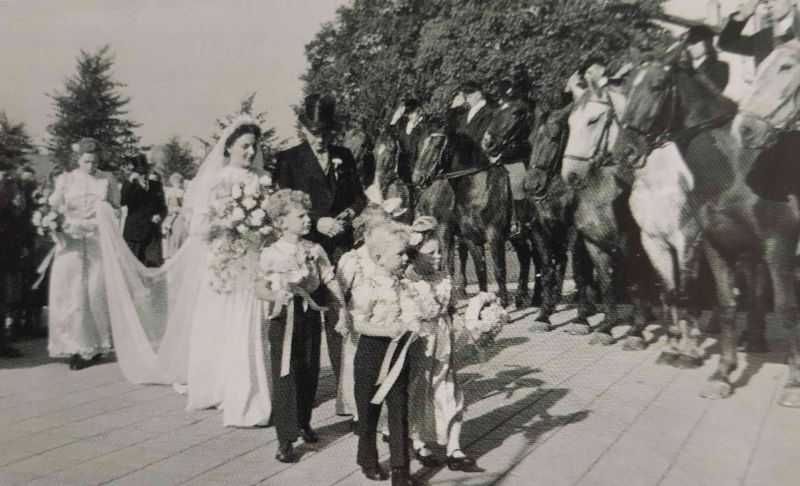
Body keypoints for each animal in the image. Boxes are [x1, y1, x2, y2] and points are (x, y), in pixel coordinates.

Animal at [412, 131, 512, 306]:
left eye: (436, 146)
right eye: (420, 145)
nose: (417, 178)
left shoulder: (493, 234)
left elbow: (498, 269)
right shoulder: (467, 235)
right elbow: (478, 268)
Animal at [620, 41, 800, 406]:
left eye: (657, 85)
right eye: (626, 87)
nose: (627, 151)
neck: (735, 168)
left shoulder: (778, 246)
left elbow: (787, 310)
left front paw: (792, 383)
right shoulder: (716, 245)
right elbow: (725, 305)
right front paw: (722, 375)